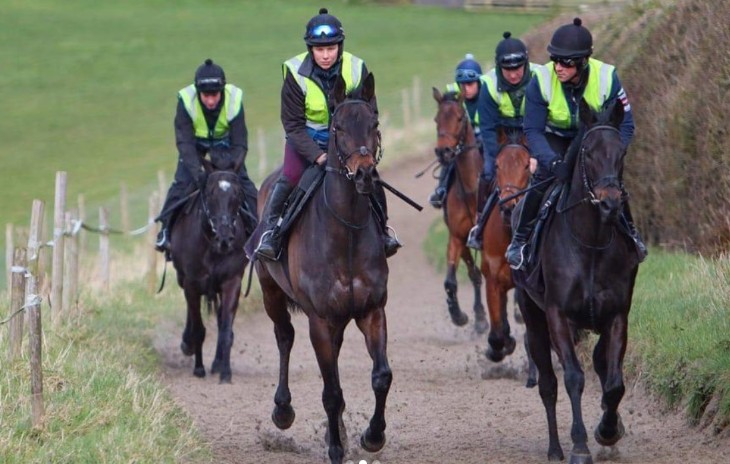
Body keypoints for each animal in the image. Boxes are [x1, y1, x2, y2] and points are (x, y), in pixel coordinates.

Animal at [169, 154, 249, 382]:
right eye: (211, 193)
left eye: (238, 193)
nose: (225, 238)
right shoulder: (192, 283)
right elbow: (198, 328)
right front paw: (198, 368)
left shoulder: (232, 282)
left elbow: (226, 330)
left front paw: (225, 372)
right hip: (184, 280)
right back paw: (188, 345)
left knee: (221, 319)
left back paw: (217, 363)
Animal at [252, 73, 392, 464]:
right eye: (338, 127)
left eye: (374, 125)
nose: (364, 174)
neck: (345, 232)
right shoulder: (319, 319)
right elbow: (331, 392)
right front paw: (334, 449)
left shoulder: (372, 311)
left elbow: (381, 377)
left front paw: (371, 436)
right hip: (271, 292)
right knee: (284, 336)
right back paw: (283, 410)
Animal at [512, 99, 636, 464]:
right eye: (589, 153)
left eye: (621, 152)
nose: (610, 203)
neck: (590, 242)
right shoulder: (558, 315)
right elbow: (572, 378)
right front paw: (579, 445)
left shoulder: (616, 315)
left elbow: (614, 382)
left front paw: (608, 430)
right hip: (533, 317)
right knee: (548, 384)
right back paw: (555, 448)